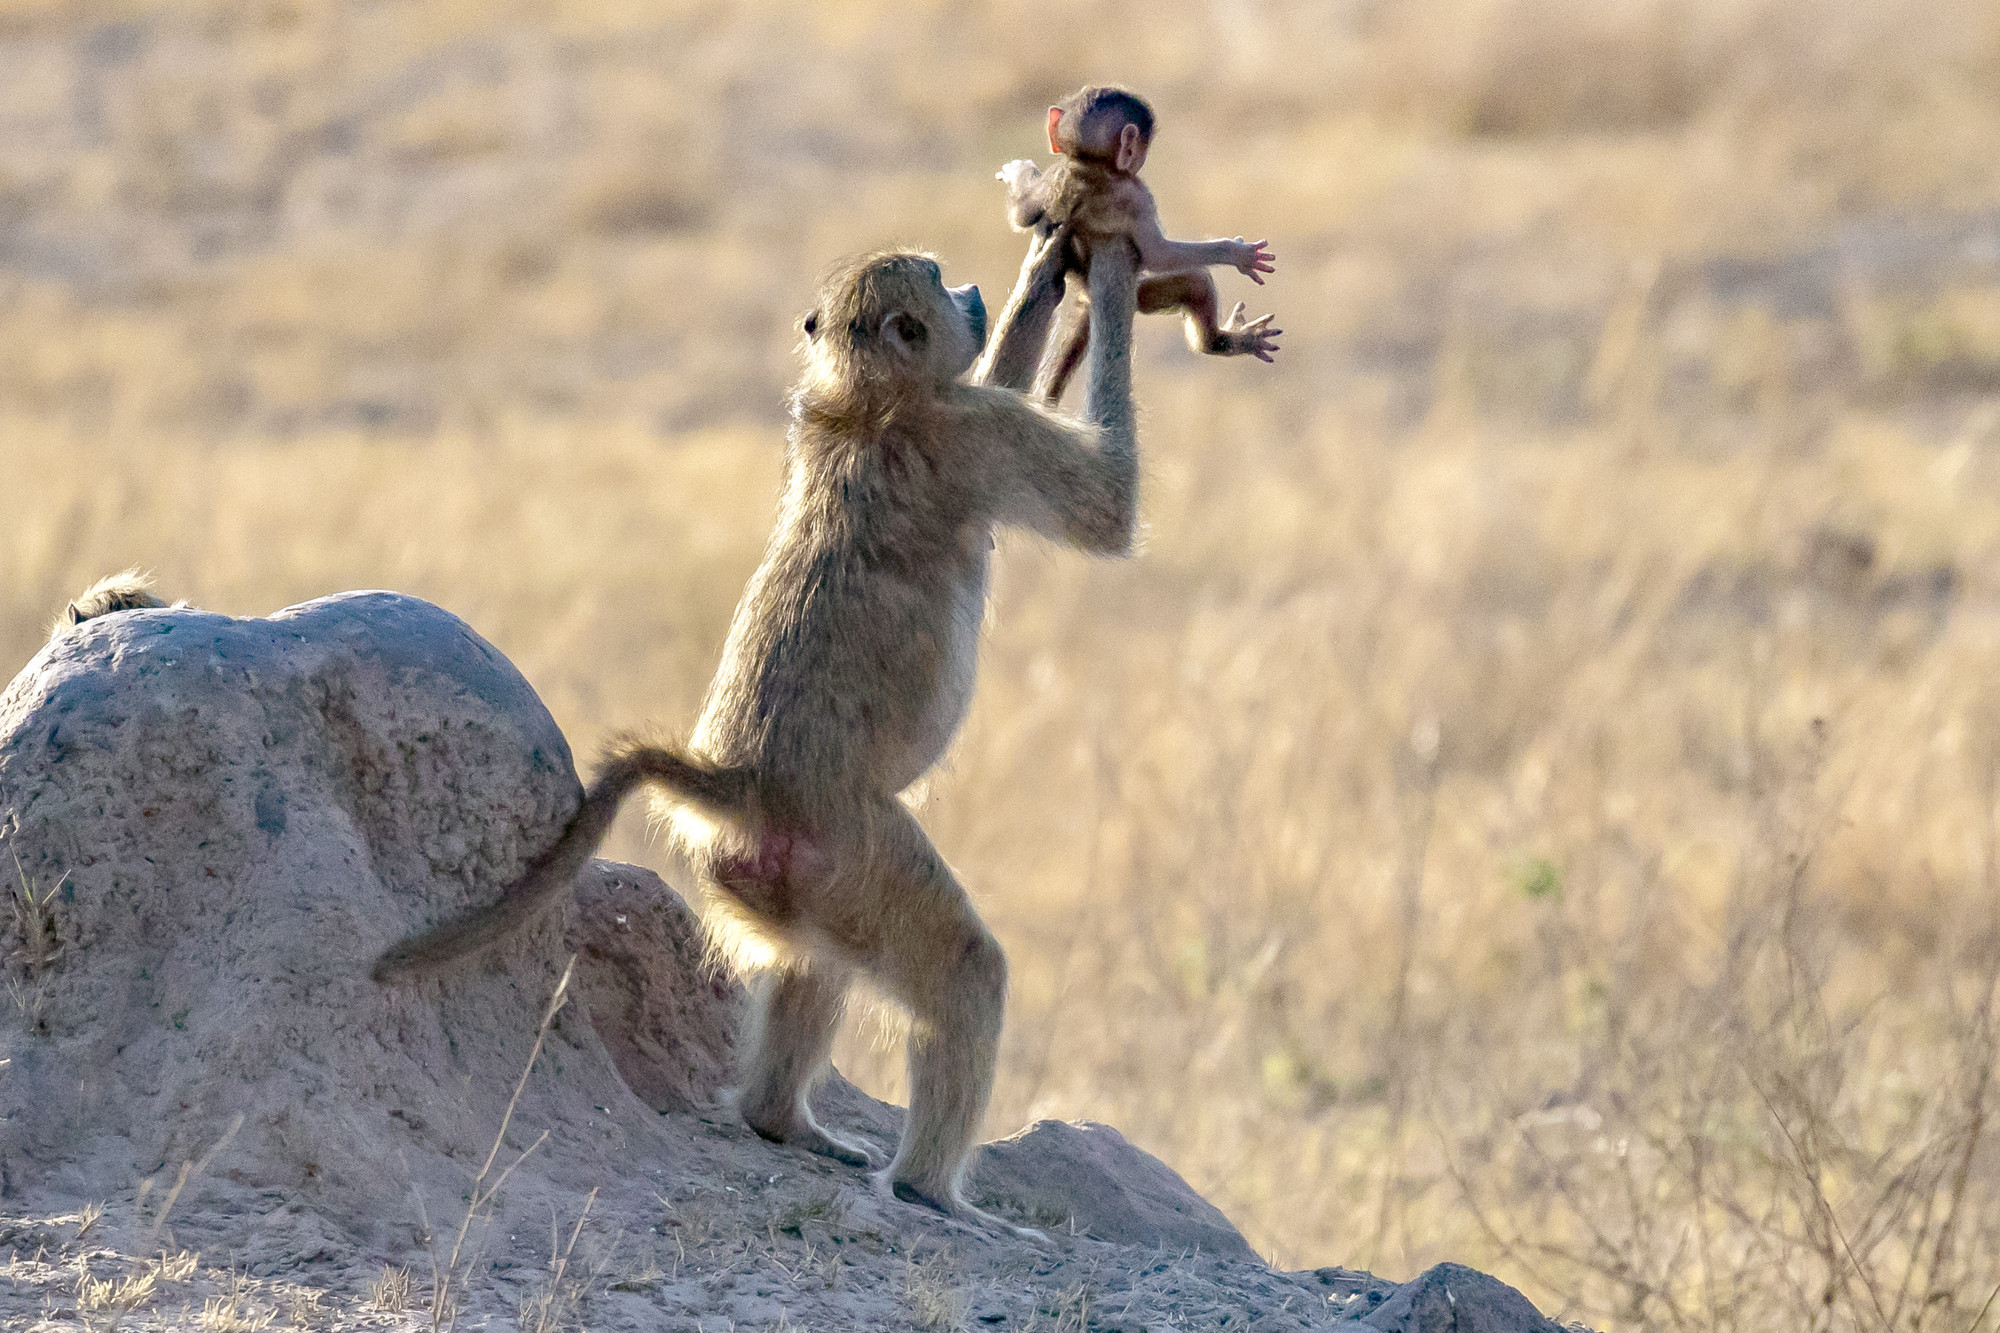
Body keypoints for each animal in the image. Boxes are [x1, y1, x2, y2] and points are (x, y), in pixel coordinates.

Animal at [375, 240, 1145, 1234]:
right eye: (937, 276)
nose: (974, 291)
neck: (866, 400)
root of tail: (737, 781)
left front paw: (1050, 266)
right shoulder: (972, 429)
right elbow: (1107, 510)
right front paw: (1119, 262)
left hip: (791, 877)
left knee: (814, 963)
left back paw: (783, 1122)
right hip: (853, 847)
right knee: (964, 970)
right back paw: (931, 1192)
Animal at [998, 84, 1280, 403]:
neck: (1091, 166)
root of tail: (1087, 296)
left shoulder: (1056, 175)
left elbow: (1023, 214)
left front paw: (1017, 177)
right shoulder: (1139, 194)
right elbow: (1158, 255)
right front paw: (1237, 253)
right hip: (1142, 297)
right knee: (1196, 283)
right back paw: (1219, 341)